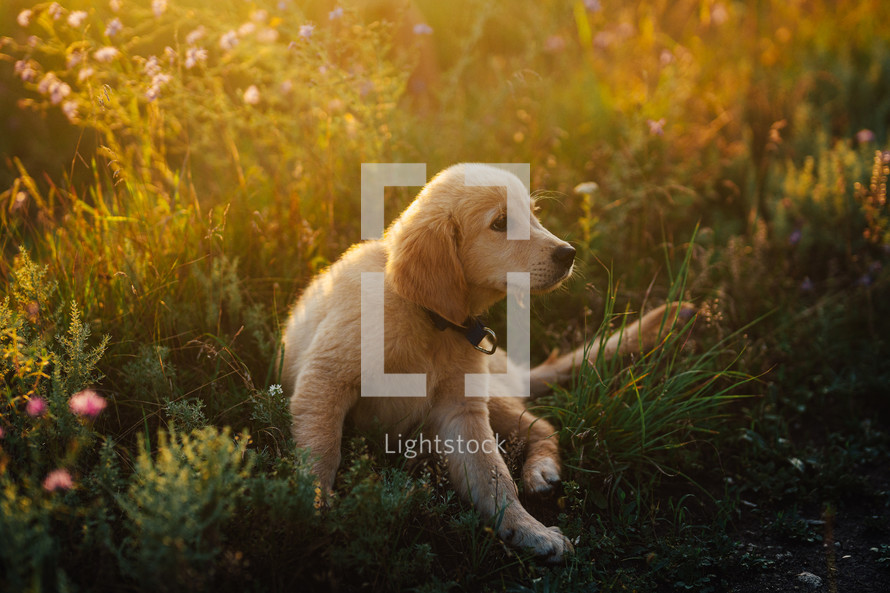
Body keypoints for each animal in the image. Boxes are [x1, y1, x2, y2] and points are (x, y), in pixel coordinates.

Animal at [278, 163, 688, 560]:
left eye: (534, 214)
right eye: (501, 223)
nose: (569, 253)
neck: (427, 317)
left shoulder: (462, 411)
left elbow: (493, 478)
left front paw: (528, 531)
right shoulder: (325, 380)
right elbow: (322, 451)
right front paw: (313, 507)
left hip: (492, 394)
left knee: (542, 426)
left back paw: (540, 471)